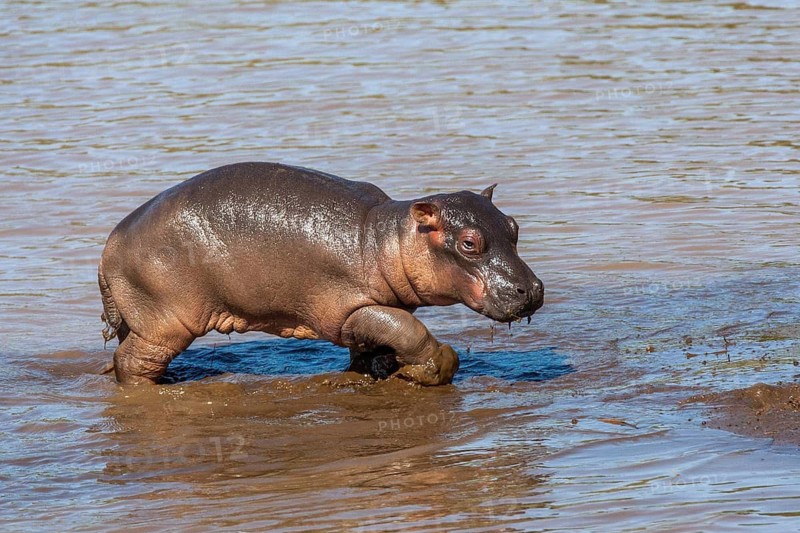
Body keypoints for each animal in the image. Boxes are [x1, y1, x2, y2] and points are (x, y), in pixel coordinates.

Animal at [98, 162, 543, 385]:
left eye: (514, 226)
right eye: (469, 243)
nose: (533, 289)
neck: (387, 239)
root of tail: (109, 246)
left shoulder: (374, 309)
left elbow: (379, 341)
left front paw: (375, 373)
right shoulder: (351, 307)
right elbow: (409, 333)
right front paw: (433, 368)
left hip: (141, 317)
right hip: (165, 323)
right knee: (132, 362)